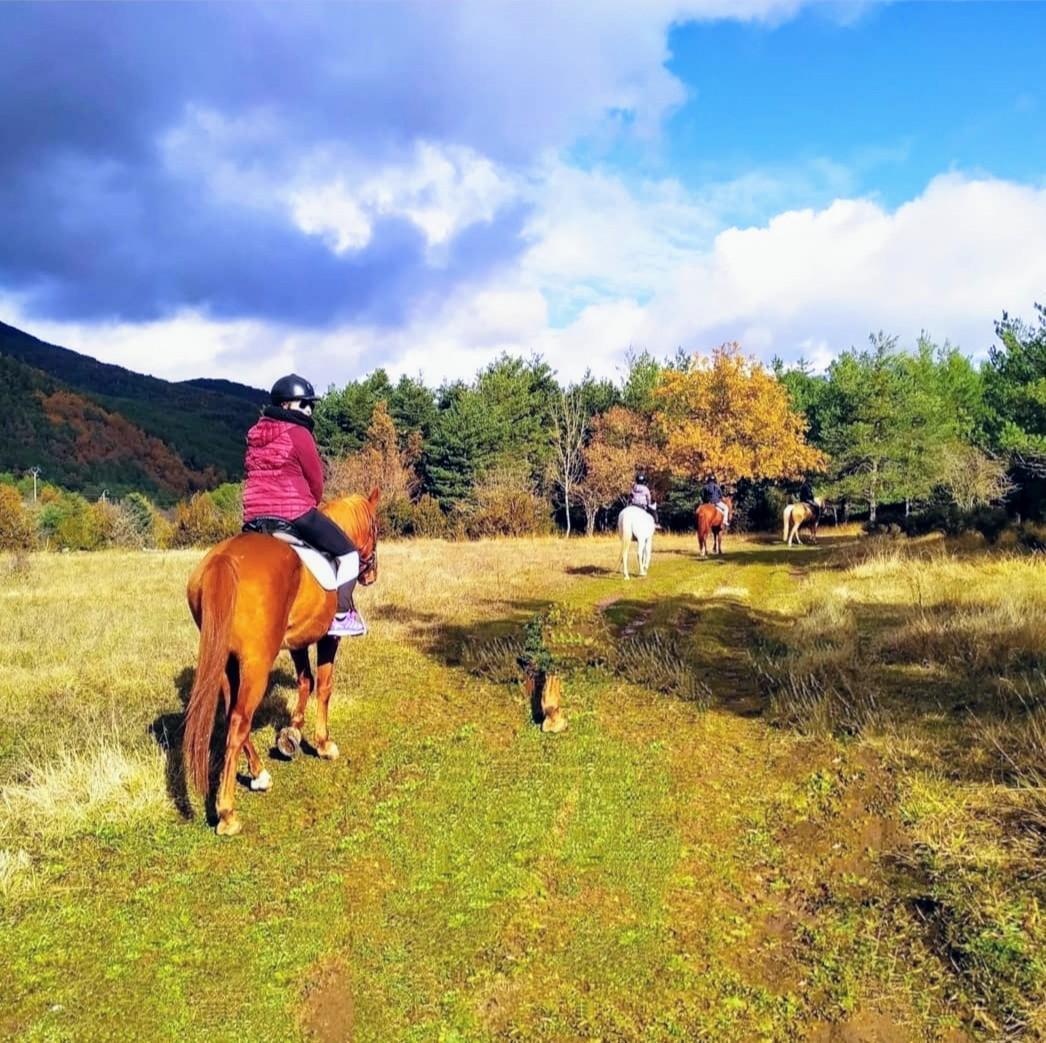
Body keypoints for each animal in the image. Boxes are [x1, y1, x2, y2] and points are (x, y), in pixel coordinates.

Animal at [184, 487, 380, 836]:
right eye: (375, 527)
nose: (371, 574)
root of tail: (223, 559)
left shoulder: (296, 641)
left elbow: (305, 681)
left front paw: (292, 733)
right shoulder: (329, 638)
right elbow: (324, 686)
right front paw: (322, 743)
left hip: (226, 663)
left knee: (233, 714)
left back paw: (259, 774)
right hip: (256, 664)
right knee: (239, 721)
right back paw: (227, 813)